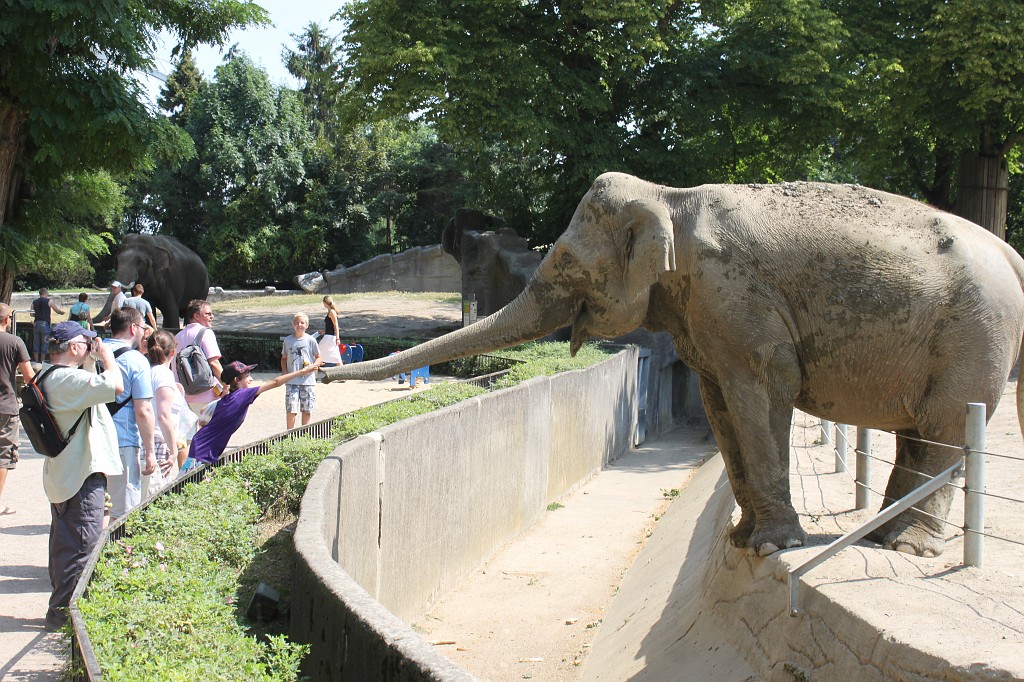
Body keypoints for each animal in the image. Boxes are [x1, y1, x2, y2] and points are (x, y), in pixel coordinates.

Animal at [323, 172, 1024, 559]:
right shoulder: (704, 317)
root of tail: (1010, 256)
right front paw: (743, 538)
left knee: (942, 430)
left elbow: (763, 390)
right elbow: (719, 403)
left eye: (568, 263)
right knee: (923, 437)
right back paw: (881, 538)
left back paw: (902, 545)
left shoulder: (733, 296)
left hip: (973, 336)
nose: (323, 375)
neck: (669, 196)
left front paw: (772, 546)